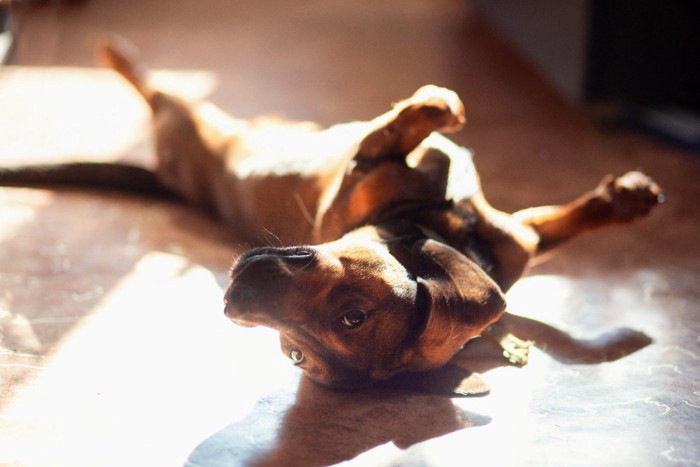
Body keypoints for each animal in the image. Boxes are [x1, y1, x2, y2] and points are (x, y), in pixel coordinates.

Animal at [0, 41, 664, 392]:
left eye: (350, 319)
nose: (232, 302)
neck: (438, 231)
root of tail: (173, 181)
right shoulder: (367, 172)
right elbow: (403, 128)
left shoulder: (501, 231)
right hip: (210, 123)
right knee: (157, 87)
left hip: (196, 126)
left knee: (158, 92)